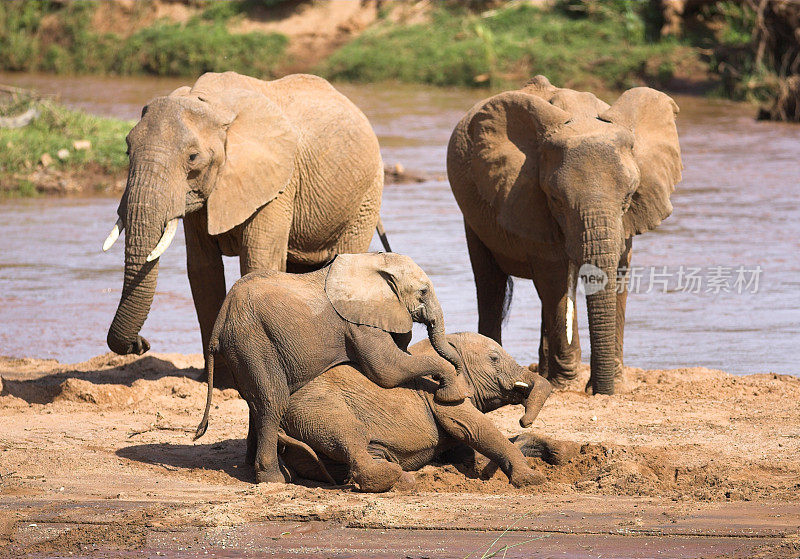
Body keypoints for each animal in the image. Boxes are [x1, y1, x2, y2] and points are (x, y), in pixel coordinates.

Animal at [101, 70, 390, 380]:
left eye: (193, 158)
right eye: (127, 150)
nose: (141, 344)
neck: (210, 102)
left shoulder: (278, 185)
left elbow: (257, 262)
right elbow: (203, 271)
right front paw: (218, 380)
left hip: (366, 194)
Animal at [195, 252, 468, 484]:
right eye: (423, 291)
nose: (459, 378)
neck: (373, 262)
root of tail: (221, 319)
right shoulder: (359, 323)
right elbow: (387, 370)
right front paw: (453, 393)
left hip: (243, 347)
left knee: (256, 402)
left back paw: (252, 469)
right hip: (252, 341)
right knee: (272, 401)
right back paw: (275, 479)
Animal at [278, 334, 552, 492]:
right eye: (494, 358)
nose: (524, 421)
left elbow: (466, 447)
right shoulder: (442, 393)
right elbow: (475, 429)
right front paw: (533, 480)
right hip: (315, 408)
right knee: (350, 435)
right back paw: (400, 481)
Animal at [446, 76, 684, 396]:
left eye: (629, 197)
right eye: (556, 200)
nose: (598, 391)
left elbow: (619, 275)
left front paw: (613, 385)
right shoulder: (530, 201)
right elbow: (556, 278)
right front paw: (568, 386)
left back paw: (546, 373)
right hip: (473, 215)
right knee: (490, 282)